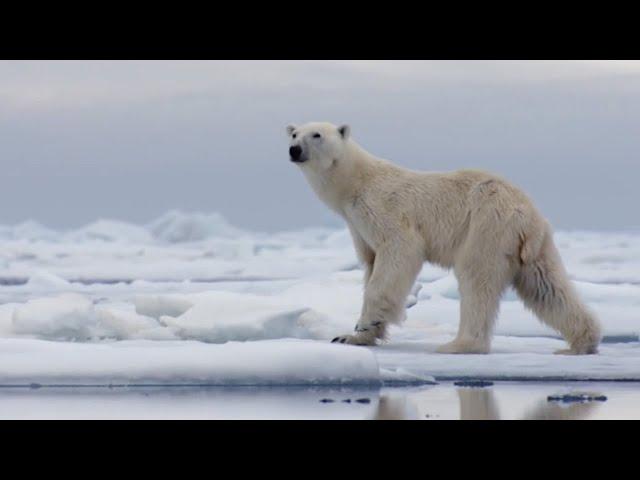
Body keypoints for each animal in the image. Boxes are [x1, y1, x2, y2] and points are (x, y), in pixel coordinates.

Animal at [288, 122, 604, 354]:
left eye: (316, 134)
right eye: (293, 132)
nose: (294, 149)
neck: (355, 183)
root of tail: (526, 211)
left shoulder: (384, 211)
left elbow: (398, 254)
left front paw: (363, 326)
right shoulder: (358, 227)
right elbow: (370, 263)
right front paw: (354, 337)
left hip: (486, 225)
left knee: (476, 278)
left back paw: (460, 344)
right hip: (531, 245)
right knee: (546, 286)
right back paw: (582, 341)